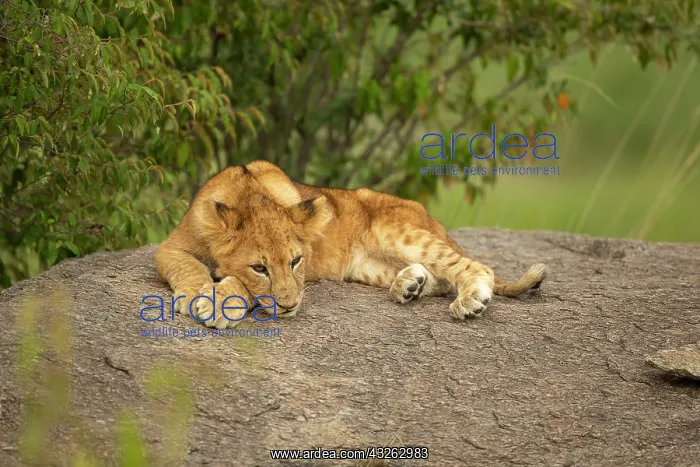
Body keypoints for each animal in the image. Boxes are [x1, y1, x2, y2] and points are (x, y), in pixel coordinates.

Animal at [154, 160, 546, 329]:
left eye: (296, 261)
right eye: (260, 267)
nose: (290, 306)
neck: (249, 196)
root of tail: (429, 216)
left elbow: (237, 283)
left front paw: (218, 301)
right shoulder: (168, 247)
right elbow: (187, 265)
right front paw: (197, 293)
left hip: (399, 233)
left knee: (475, 267)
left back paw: (471, 301)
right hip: (368, 267)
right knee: (439, 278)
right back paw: (410, 285)